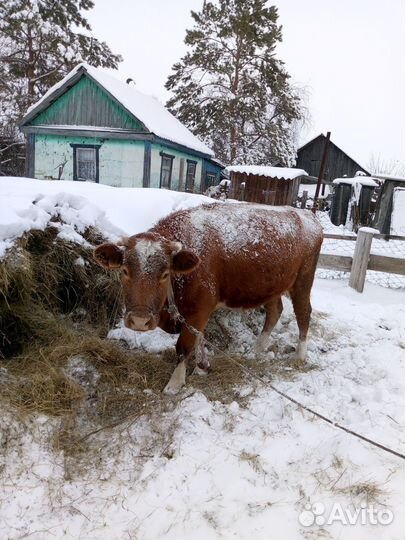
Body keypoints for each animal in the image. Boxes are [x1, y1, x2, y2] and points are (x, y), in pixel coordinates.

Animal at [94, 202, 322, 392]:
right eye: (124, 271)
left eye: (165, 274)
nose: (140, 321)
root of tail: (306, 215)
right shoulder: (197, 314)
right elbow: (198, 337)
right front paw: (201, 367)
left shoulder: (199, 309)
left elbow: (184, 345)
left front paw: (175, 384)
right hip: (271, 286)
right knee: (275, 312)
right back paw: (256, 350)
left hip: (302, 282)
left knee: (304, 314)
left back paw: (299, 356)